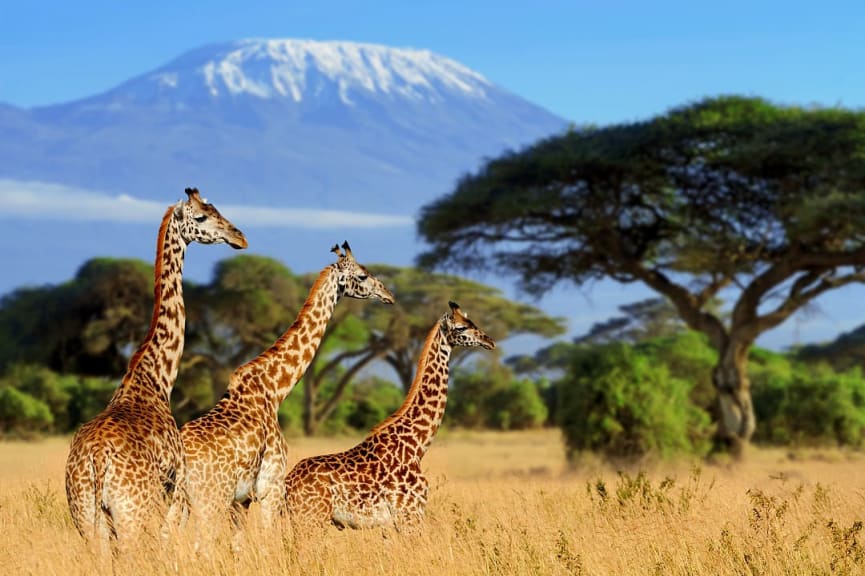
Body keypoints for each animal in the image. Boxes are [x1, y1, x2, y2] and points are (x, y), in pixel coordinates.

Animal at [63, 187, 246, 548]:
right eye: (202, 216)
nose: (239, 237)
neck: (156, 378)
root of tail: (97, 460)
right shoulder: (175, 491)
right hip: (133, 514)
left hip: (86, 518)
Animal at [176, 241, 398, 532]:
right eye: (362, 275)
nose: (388, 295)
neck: (275, 389)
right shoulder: (271, 486)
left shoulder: (242, 499)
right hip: (211, 499)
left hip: (179, 501)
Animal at [286, 302, 492, 532]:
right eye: (461, 327)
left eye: (472, 322)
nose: (489, 341)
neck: (417, 446)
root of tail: (287, 484)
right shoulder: (410, 515)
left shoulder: (393, 524)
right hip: (311, 519)